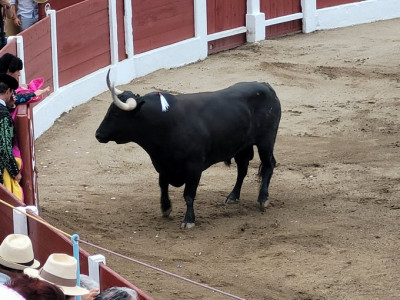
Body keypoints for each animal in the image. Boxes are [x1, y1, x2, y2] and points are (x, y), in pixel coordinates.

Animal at [95, 71, 280, 230]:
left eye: (116, 114)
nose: (98, 134)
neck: (166, 124)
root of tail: (266, 86)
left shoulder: (194, 168)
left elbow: (189, 195)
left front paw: (188, 220)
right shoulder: (162, 165)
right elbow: (163, 186)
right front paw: (166, 208)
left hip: (266, 141)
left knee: (268, 165)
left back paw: (262, 198)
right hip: (242, 146)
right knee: (242, 169)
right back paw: (233, 196)